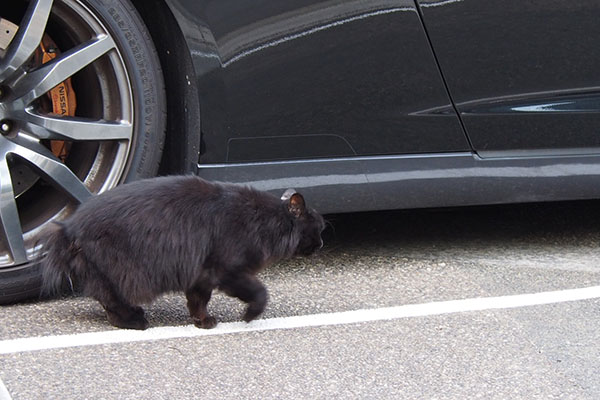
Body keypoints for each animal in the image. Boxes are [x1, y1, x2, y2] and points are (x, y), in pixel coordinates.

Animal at [39, 177, 326, 330]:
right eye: (319, 228)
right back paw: (135, 321)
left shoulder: (201, 275)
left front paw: (203, 321)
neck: (263, 220)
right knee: (111, 303)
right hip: (121, 272)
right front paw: (249, 316)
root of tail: (68, 227)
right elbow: (259, 292)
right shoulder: (228, 271)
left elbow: (198, 302)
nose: (323, 243)